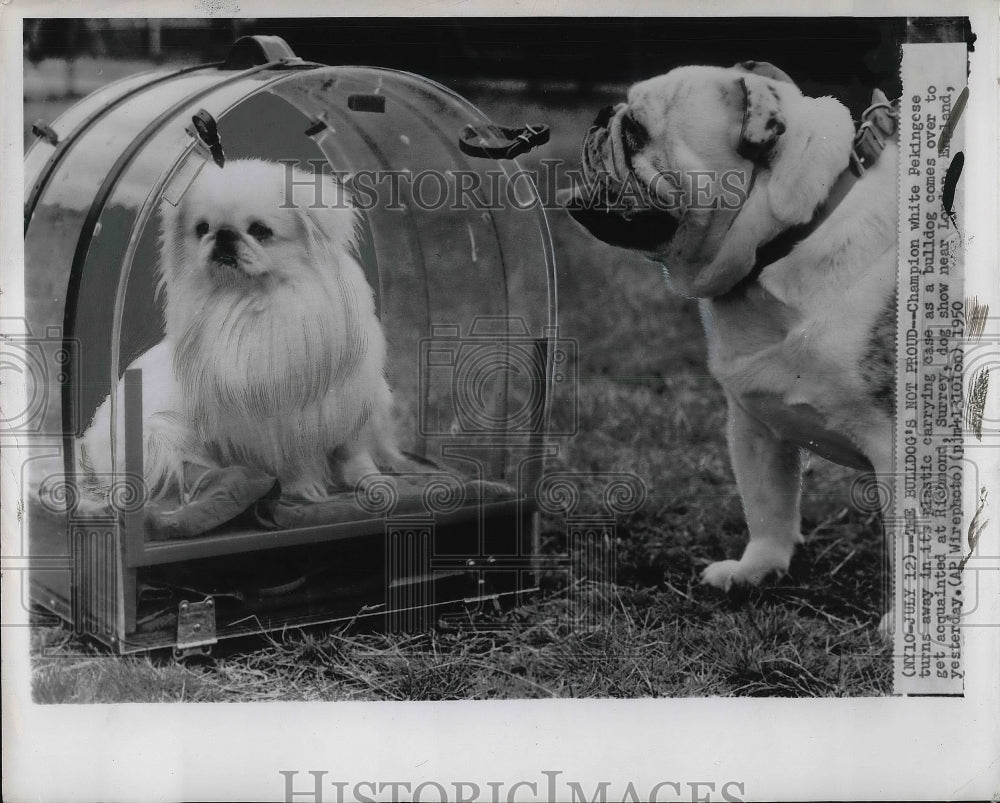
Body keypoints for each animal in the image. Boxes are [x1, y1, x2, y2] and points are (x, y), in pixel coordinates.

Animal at [75, 159, 402, 508]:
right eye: (202, 228)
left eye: (260, 231)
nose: (223, 234)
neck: (256, 301)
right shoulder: (269, 424)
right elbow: (290, 460)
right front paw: (305, 487)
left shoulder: (350, 400)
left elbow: (354, 450)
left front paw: (369, 480)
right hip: (157, 435)